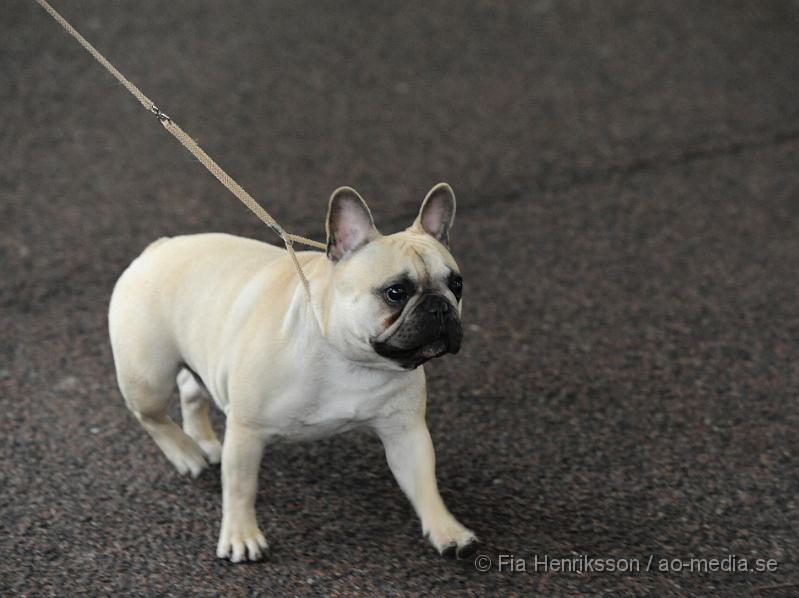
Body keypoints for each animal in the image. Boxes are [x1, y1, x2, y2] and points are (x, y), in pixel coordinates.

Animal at [109, 183, 478, 564]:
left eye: (457, 285)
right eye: (395, 293)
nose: (439, 307)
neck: (352, 361)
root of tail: (158, 247)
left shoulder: (405, 431)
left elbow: (424, 482)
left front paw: (447, 530)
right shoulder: (247, 431)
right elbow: (240, 488)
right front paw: (241, 535)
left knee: (190, 387)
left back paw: (203, 440)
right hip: (149, 375)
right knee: (150, 415)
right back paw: (185, 453)